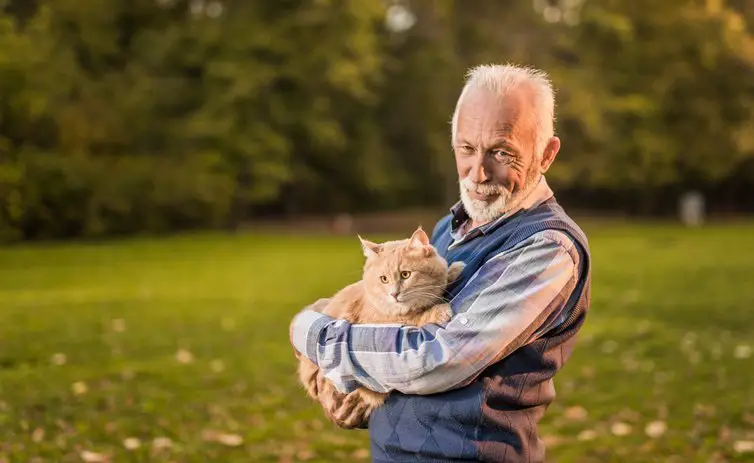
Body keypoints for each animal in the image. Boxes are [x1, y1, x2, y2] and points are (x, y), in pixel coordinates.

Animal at [296, 227, 462, 428]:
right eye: (384, 279)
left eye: (405, 274)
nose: (394, 294)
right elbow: (418, 318)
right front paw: (439, 309)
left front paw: (453, 270)